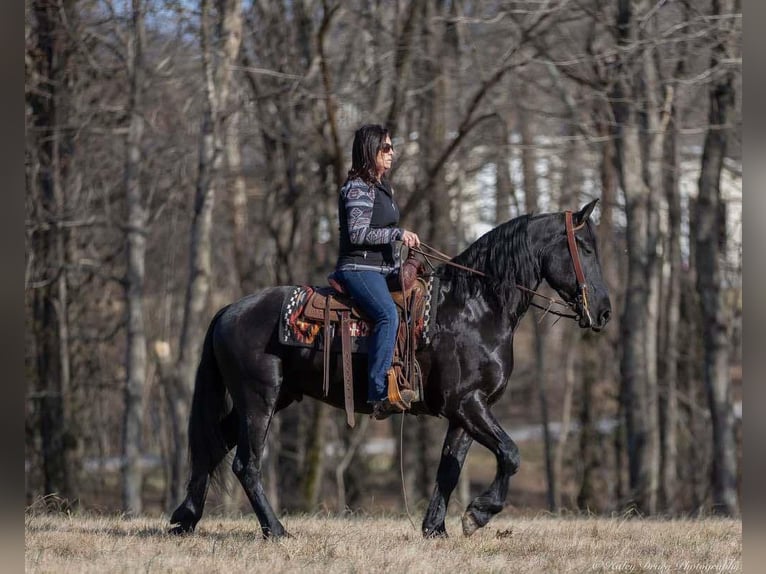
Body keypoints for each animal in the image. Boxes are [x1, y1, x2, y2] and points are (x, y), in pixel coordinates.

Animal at [170, 199, 612, 540]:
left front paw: (436, 529)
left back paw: (184, 520)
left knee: (213, 446)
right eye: (585, 248)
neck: (474, 309)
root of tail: (229, 310)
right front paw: (478, 514)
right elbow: (511, 453)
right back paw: (275, 530)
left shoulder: (467, 410)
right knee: (245, 464)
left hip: (272, 398)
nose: (604, 311)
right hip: (258, 400)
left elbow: (449, 468)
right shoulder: (467, 404)